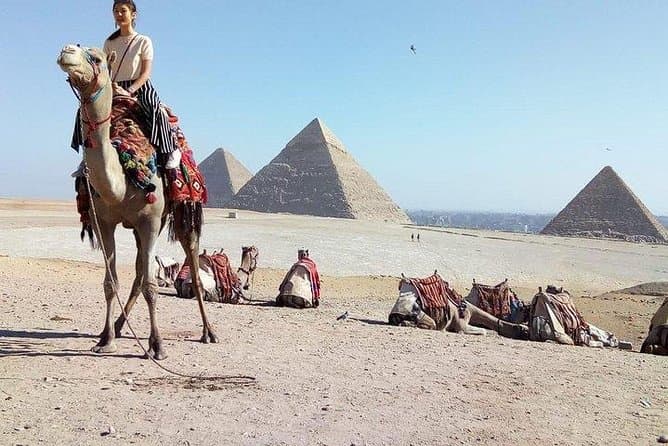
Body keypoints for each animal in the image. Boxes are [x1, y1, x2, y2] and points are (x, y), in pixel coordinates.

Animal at [57, 44, 217, 360]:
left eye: (96, 57)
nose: (66, 50)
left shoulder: (150, 220)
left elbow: (152, 286)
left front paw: (158, 347)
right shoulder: (104, 221)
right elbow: (111, 282)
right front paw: (106, 340)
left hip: (182, 213)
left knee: (191, 260)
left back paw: (208, 332)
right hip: (140, 227)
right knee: (139, 272)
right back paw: (118, 327)